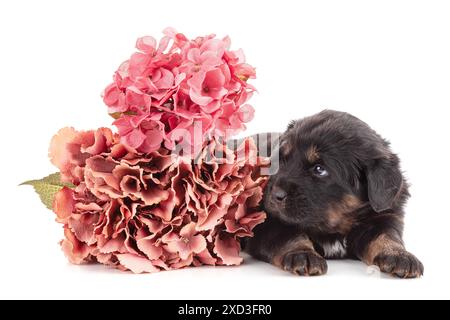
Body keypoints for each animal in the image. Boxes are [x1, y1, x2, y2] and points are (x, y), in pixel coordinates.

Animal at [244, 110, 424, 278]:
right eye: (280, 160)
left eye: (319, 169)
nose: (275, 194)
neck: (334, 226)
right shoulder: (268, 221)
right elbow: (288, 235)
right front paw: (303, 254)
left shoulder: (384, 216)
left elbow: (386, 236)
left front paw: (400, 256)